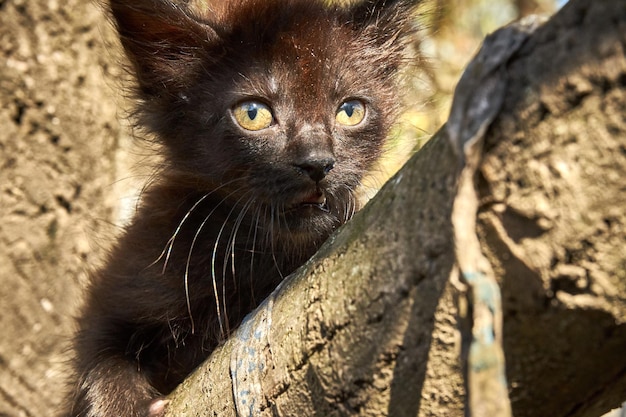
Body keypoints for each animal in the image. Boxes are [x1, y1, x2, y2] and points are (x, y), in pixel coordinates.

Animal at [66, 0, 416, 414]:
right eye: (253, 113)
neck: (257, 253)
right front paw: (124, 404)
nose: (317, 162)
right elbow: (100, 358)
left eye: (350, 111)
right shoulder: (119, 290)